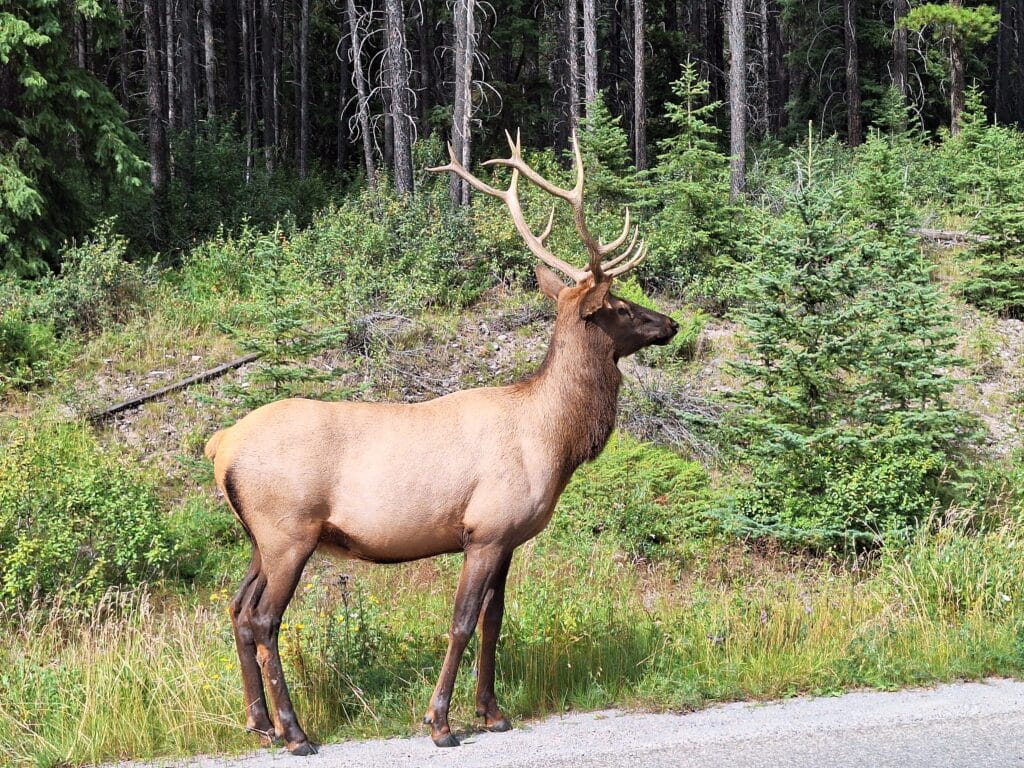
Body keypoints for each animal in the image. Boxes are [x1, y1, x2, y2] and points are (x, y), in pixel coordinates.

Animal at [202, 131, 675, 753]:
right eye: (619, 306)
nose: (669, 323)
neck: (553, 440)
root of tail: (219, 445)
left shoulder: (508, 536)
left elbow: (495, 621)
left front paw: (493, 712)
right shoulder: (486, 529)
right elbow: (461, 621)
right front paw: (441, 722)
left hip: (259, 537)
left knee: (237, 608)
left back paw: (259, 723)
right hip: (288, 530)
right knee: (263, 619)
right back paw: (295, 731)